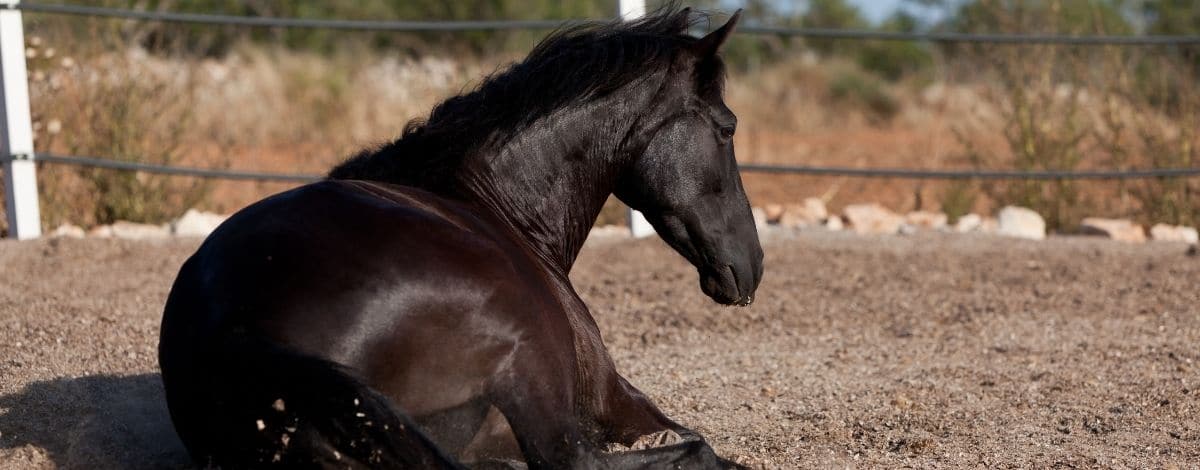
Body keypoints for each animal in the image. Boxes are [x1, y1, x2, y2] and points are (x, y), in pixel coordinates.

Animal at [159, 8, 758, 470]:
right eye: (727, 127)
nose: (752, 264)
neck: (498, 204)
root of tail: (233, 326)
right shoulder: (613, 396)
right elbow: (697, 442)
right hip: (523, 348)